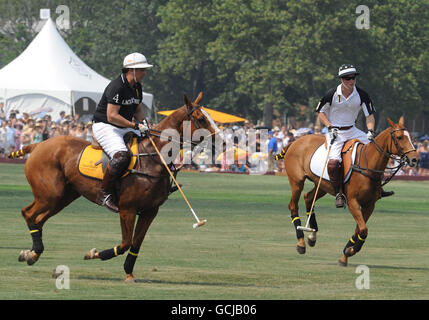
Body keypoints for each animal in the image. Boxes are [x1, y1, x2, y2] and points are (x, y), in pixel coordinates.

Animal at [10, 91, 219, 282]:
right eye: (200, 118)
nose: (221, 142)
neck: (152, 158)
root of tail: (37, 146)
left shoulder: (150, 211)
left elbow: (136, 244)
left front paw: (129, 273)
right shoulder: (127, 209)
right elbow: (126, 243)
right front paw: (93, 254)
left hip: (63, 197)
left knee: (39, 218)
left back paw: (31, 254)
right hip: (50, 194)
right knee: (28, 213)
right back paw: (33, 252)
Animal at [276, 116, 420, 266]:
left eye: (410, 137)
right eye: (399, 137)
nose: (415, 159)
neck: (367, 164)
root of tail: (294, 142)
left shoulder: (370, 205)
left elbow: (359, 229)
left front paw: (345, 254)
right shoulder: (352, 201)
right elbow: (363, 229)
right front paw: (350, 250)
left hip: (322, 185)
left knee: (308, 198)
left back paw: (312, 236)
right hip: (297, 181)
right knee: (293, 205)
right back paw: (301, 243)